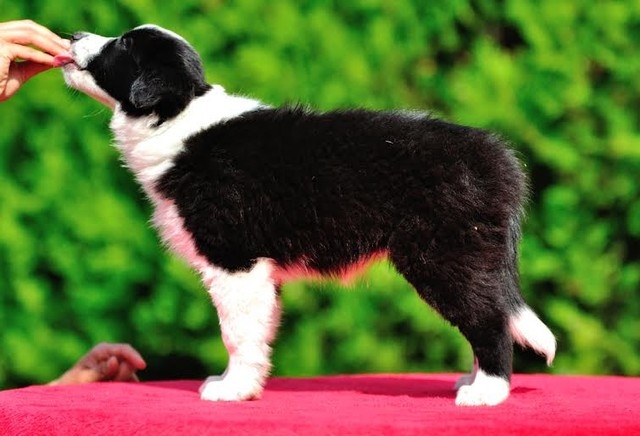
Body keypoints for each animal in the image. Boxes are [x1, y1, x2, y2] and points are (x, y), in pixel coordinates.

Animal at [56, 24, 556, 406]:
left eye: (123, 44)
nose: (73, 34)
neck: (177, 118)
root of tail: (497, 157)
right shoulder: (260, 272)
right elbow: (258, 330)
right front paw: (244, 384)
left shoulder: (234, 260)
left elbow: (236, 332)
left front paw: (230, 390)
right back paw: (472, 379)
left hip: (444, 253)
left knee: (489, 320)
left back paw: (486, 392)